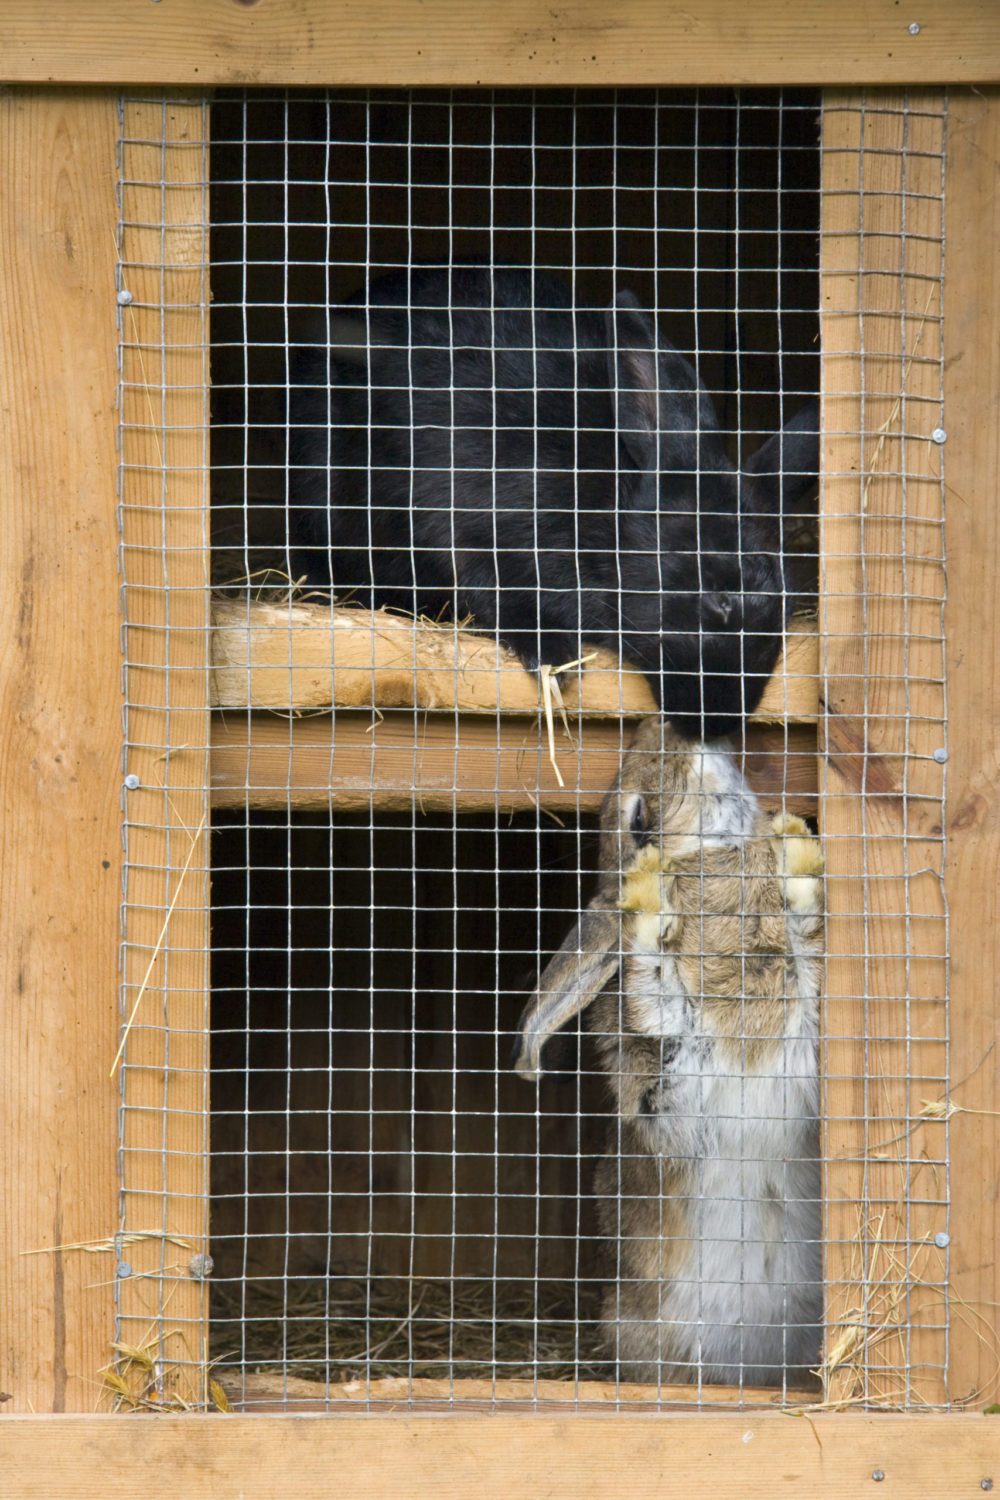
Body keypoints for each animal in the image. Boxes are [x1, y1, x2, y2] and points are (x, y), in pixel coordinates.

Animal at [288, 265, 818, 738]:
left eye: (786, 610)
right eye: (720, 599)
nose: (718, 723)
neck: (607, 515)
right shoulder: (474, 526)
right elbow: (494, 589)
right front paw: (556, 657)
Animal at [512, 716, 824, 1387]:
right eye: (638, 819)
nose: (661, 724)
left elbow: (804, 938)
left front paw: (796, 851)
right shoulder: (669, 1095)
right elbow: (652, 995)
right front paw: (647, 902)